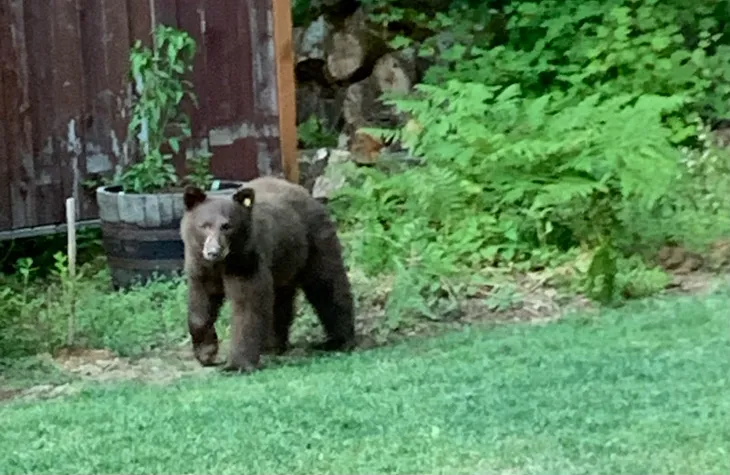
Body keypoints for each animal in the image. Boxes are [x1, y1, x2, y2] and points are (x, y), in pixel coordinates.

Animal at [181, 177, 354, 374]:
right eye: (204, 225)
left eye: (227, 226)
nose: (213, 251)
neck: (222, 264)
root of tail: (306, 193)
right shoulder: (200, 268)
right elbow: (200, 307)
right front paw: (206, 353)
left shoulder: (246, 262)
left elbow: (248, 304)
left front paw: (237, 364)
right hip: (284, 263)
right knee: (280, 302)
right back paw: (273, 344)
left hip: (313, 242)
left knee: (327, 285)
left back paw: (340, 340)